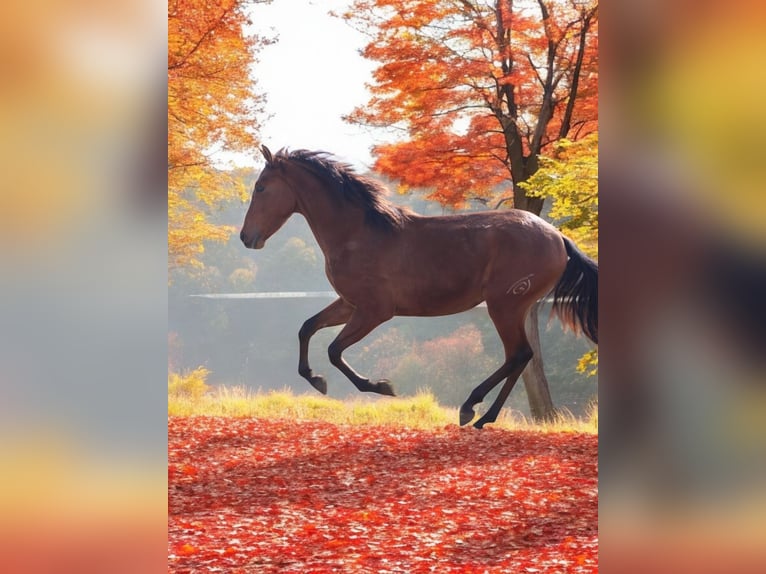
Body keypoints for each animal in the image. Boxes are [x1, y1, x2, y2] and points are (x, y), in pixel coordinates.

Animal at [240, 146, 600, 430]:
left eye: (261, 187)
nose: (246, 237)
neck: (358, 233)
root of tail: (557, 237)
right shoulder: (348, 304)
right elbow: (307, 329)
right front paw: (316, 379)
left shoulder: (374, 311)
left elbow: (333, 350)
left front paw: (381, 386)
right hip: (515, 308)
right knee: (522, 356)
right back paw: (483, 417)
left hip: (504, 306)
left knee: (519, 354)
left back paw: (471, 408)